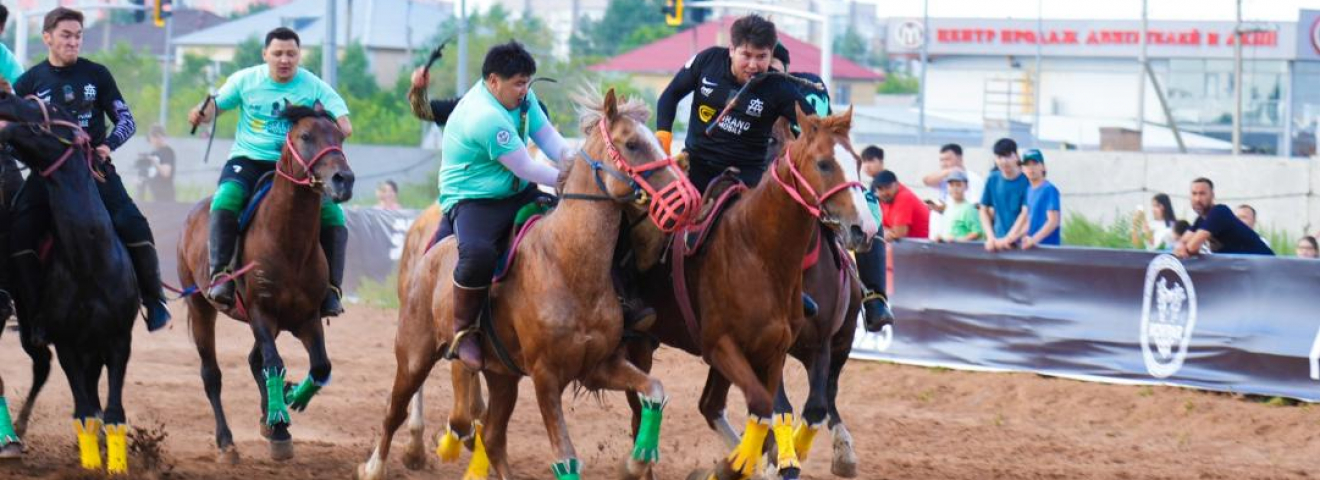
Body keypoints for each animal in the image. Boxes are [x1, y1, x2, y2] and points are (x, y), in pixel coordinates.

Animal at [0, 92, 139, 472]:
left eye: (51, 109)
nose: (4, 97)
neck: (90, 262)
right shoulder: (67, 343)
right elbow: (84, 412)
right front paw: (90, 462)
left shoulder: (118, 339)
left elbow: (114, 413)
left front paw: (116, 464)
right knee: (44, 366)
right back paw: (18, 430)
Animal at [180, 102, 359, 464]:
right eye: (305, 136)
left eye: (339, 136)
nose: (343, 180)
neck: (288, 243)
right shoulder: (260, 312)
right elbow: (274, 363)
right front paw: (279, 419)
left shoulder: (306, 318)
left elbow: (320, 366)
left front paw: (289, 403)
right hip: (201, 306)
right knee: (212, 374)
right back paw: (227, 442)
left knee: (254, 361)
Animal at [356, 89, 696, 480]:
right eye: (632, 144)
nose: (686, 197)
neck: (566, 264)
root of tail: (430, 253)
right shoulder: (546, 376)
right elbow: (566, 457)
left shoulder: (599, 366)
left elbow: (654, 390)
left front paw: (637, 459)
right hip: (415, 354)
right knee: (394, 410)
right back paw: (374, 467)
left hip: (502, 375)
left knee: (493, 436)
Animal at [625, 106, 876, 480]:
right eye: (823, 164)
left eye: (858, 161)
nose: (863, 229)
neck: (759, 253)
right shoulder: (726, 345)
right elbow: (775, 408)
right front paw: (775, 460)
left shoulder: (808, 346)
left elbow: (813, 408)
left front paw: (778, 457)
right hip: (640, 341)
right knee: (642, 404)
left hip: (839, 343)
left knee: (713, 405)